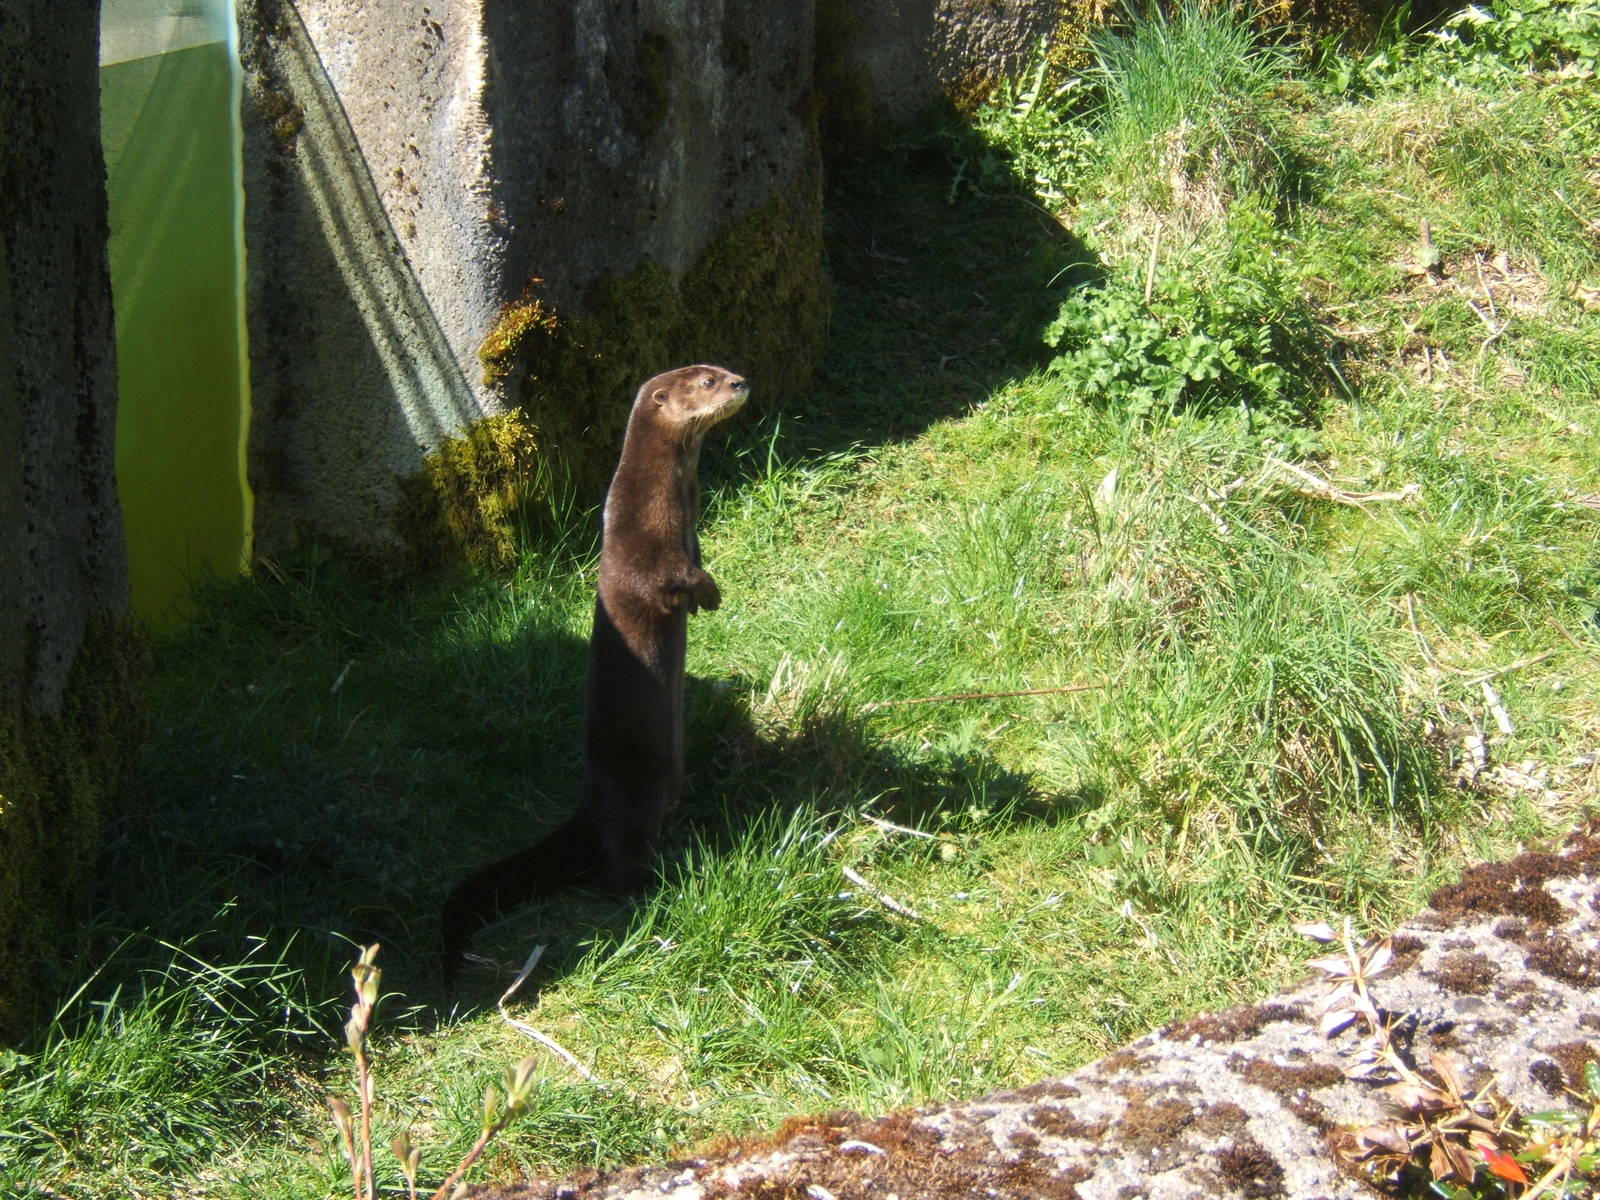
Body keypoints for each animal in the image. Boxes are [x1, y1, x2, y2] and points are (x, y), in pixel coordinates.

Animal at [442, 364, 749, 979]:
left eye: (724, 370)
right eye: (708, 381)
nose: (741, 382)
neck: (671, 493)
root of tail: (588, 808)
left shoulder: (689, 525)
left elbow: (695, 556)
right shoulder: (642, 541)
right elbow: (665, 577)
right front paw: (705, 591)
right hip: (632, 800)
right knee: (616, 869)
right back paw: (652, 888)